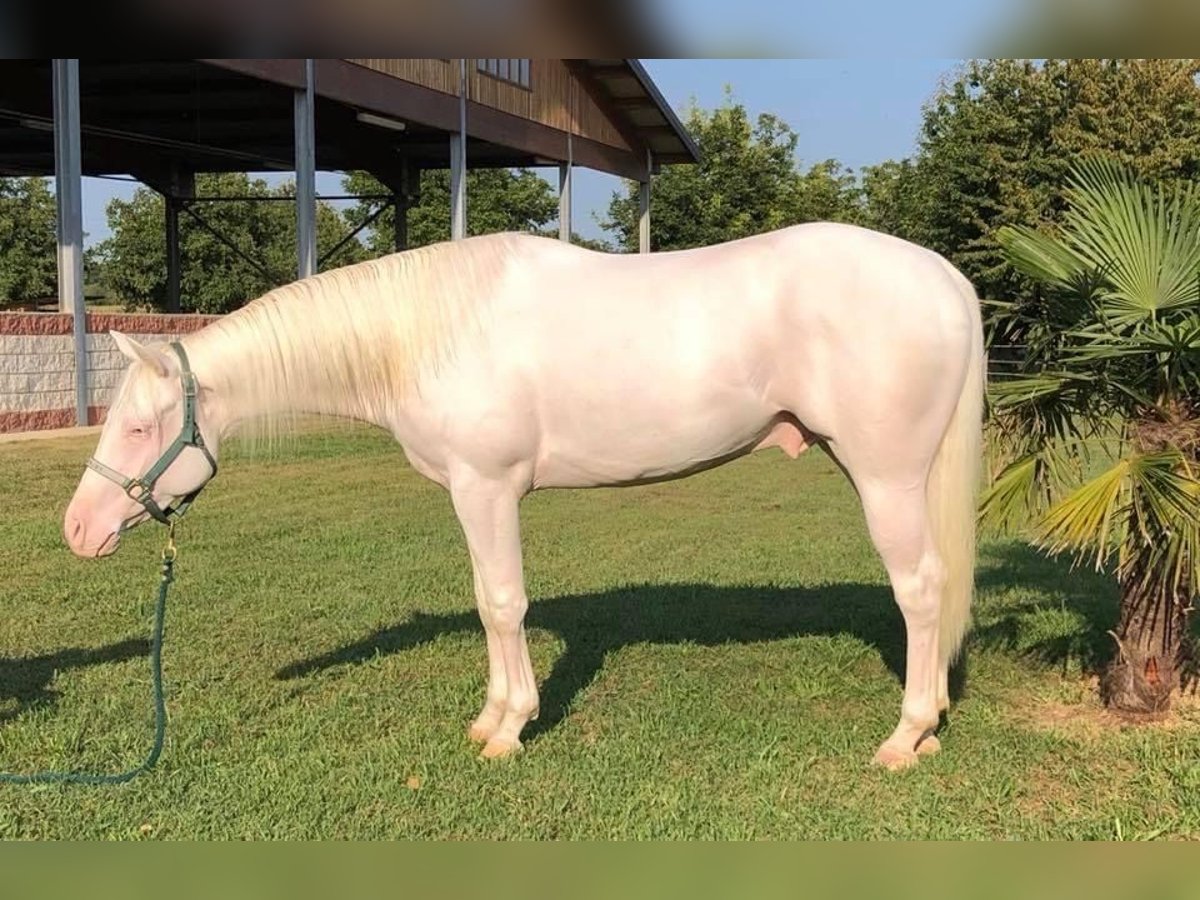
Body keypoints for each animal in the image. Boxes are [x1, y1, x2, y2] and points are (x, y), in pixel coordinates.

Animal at [65, 224, 979, 768]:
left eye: (139, 429)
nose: (78, 529)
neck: (429, 333)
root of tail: (943, 276)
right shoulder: (473, 497)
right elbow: (485, 600)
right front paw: (492, 716)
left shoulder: (488, 488)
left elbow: (503, 602)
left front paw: (509, 729)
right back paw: (931, 719)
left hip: (886, 479)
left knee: (920, 588)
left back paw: (906, 736)